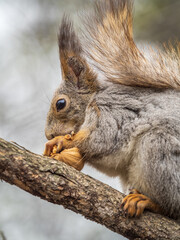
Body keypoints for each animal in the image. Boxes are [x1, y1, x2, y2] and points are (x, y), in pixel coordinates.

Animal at [43, 0, 180, 219]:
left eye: (60, 104)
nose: (48, 134)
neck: (92, 101)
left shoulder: (112, 113)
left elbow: (102, 141)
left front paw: (60, 141)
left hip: (161, 148)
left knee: (172, 207)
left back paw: (148, 201)